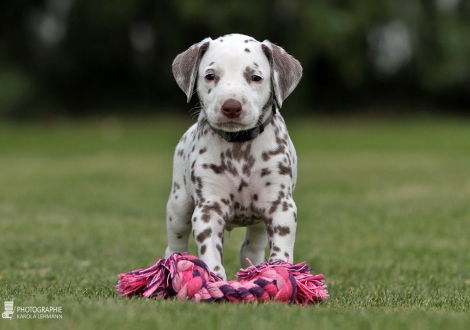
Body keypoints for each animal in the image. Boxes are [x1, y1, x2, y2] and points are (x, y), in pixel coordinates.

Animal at [167, 34, 302, 282]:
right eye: (210, 76)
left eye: (255, 77)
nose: (231, 106)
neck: (239, 148)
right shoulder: (208, 209)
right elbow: (210, 253)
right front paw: (215, 280)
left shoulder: (280, 206)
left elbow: (281, 249)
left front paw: (281, 273)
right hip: (178, 206)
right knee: (176, 245)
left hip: (259, 224)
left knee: (250, 249)